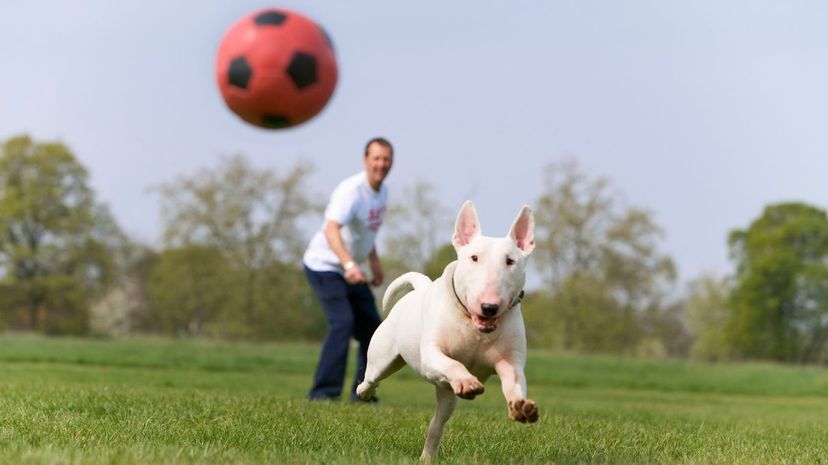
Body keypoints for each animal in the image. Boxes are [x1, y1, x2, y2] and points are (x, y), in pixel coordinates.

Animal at [354, 200, 536, 460]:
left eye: (510, 261)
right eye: (474, 258)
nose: (489, 307)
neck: (474, 328)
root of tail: (421, 287)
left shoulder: (510, 361)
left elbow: (514, 381)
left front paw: (521, 406)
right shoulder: (432, 355)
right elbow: (452, 363)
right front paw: (468, 381)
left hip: (447, 397)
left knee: (436, 425)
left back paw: (427, 457)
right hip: (383, 359)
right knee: (372, 378)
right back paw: (364, 392)